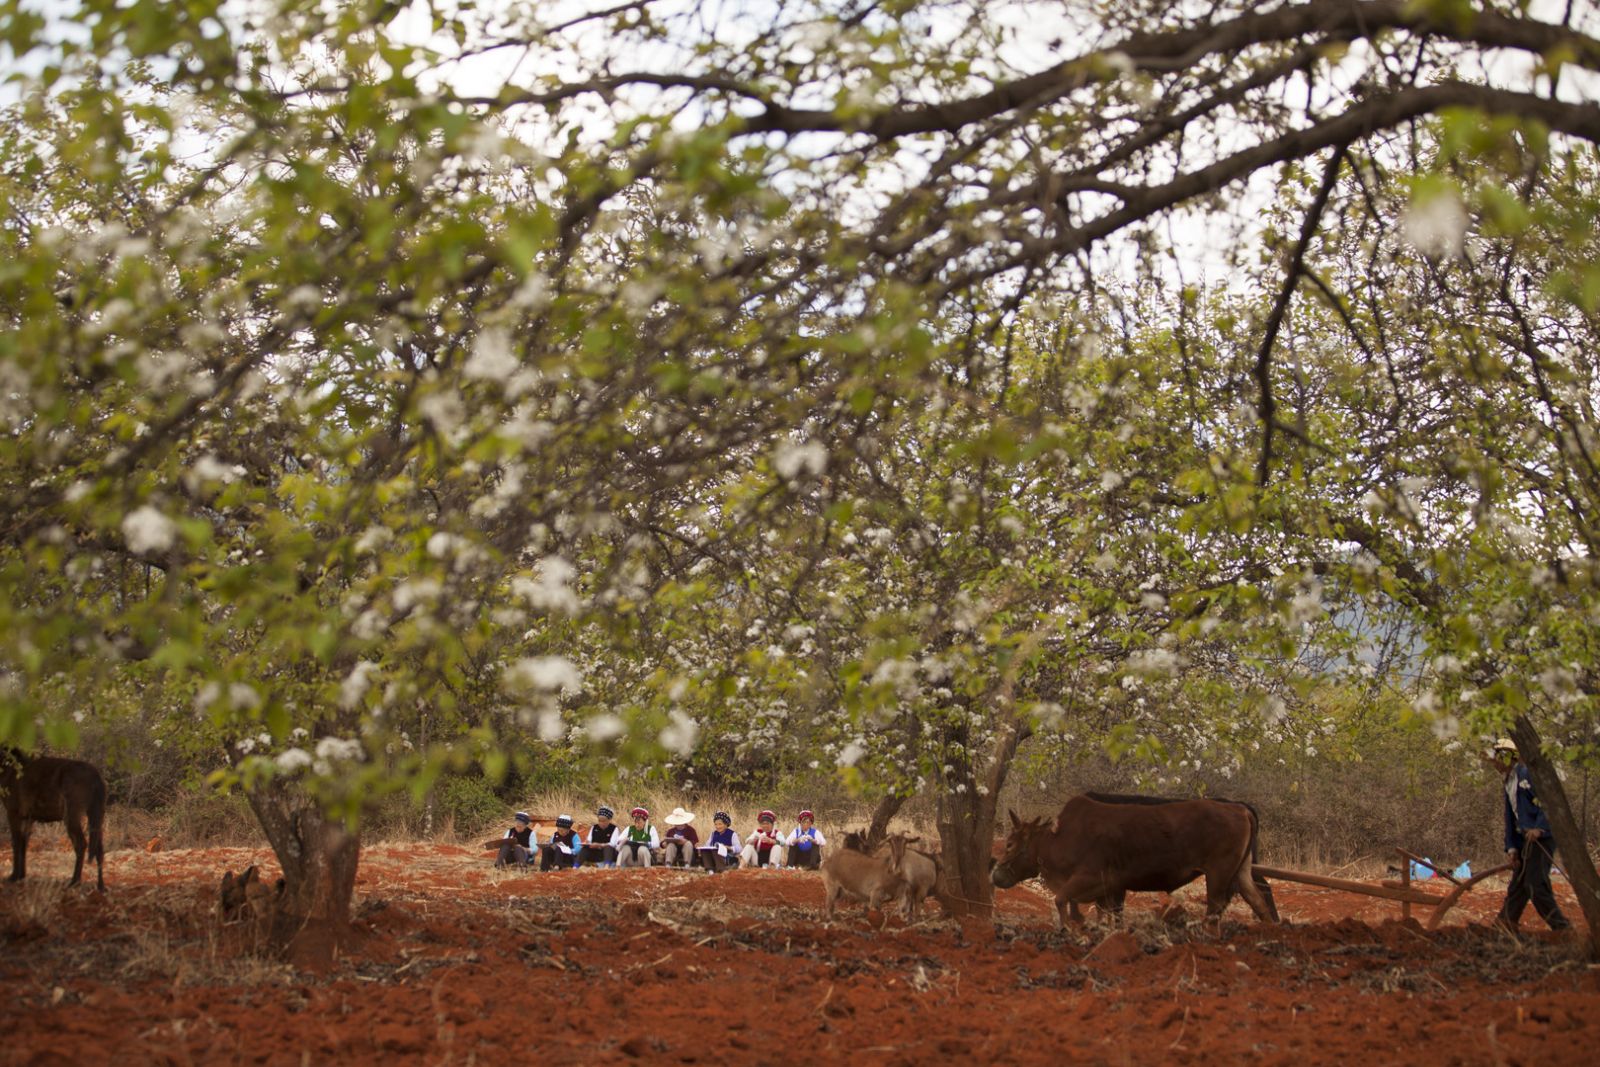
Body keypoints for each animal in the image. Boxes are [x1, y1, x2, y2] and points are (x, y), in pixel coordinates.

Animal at [1, 748, 106, 889]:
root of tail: (96, 776)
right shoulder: (27, 818)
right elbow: (24, 843)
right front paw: (22, 875)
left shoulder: (13, 813)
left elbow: (16, 843)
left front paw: (14, 876)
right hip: (96, 815)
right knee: (99, 850)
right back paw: (101, 886)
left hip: (71, 816)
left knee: (81, 844)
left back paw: (74, 881)